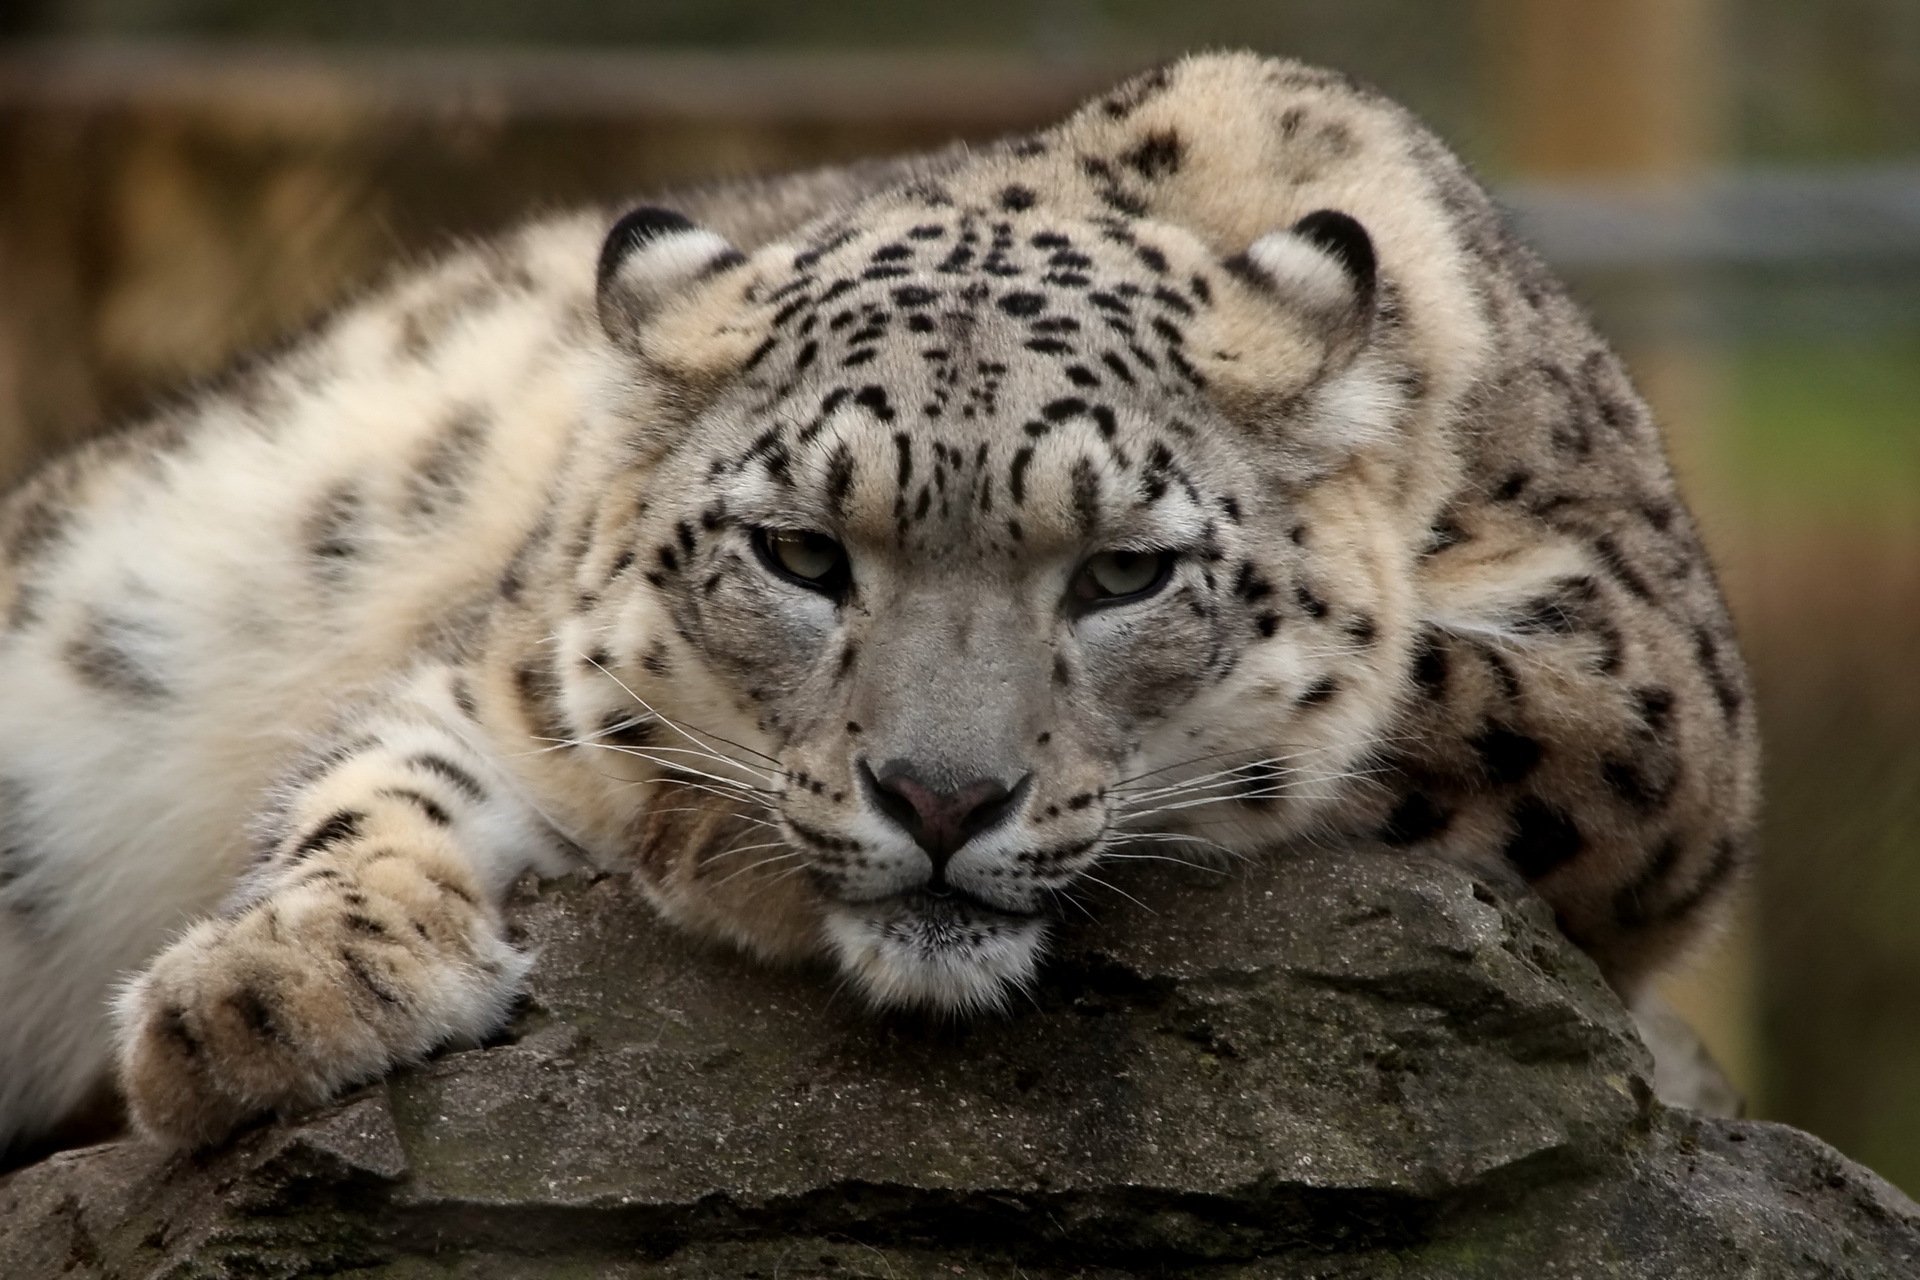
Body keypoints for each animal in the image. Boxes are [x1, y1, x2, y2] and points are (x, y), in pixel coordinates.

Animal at [0, 51, 1758, 1161]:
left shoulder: (1640, 699)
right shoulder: (507, 665)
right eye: (800, 554)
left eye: (1124, 570)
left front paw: (702, 841)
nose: (938, 800)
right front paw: (271, 988)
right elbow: (378, 778)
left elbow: (1400, 704)